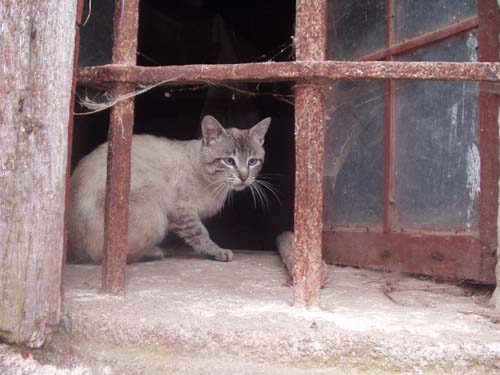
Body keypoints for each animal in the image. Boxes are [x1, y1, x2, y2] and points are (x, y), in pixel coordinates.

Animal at [67, 114, 272, 264]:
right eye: (229, 161)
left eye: (252, 162)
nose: (244, 177)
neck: (214, 184)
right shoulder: (182, 210)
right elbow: (201, 234)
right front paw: (218, 252)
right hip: (155, 212)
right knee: (105, 255)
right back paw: (157, 252)